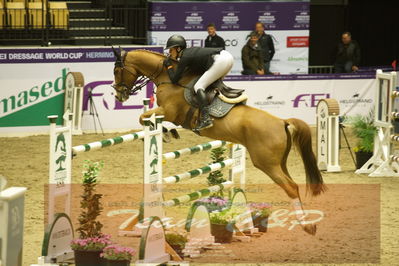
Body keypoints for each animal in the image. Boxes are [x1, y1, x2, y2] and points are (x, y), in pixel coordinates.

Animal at [111, 47, 324, 235]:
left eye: (116, 71)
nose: (119, 95)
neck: (169, 78)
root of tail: (282, 122)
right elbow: (148, 118)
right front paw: (169, 132)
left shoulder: (168, 111)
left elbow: (143, 117)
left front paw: (166, 132)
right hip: (280, 162)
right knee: (293, 184)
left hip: (266, 163)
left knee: (291, 187)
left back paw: (306, 226)